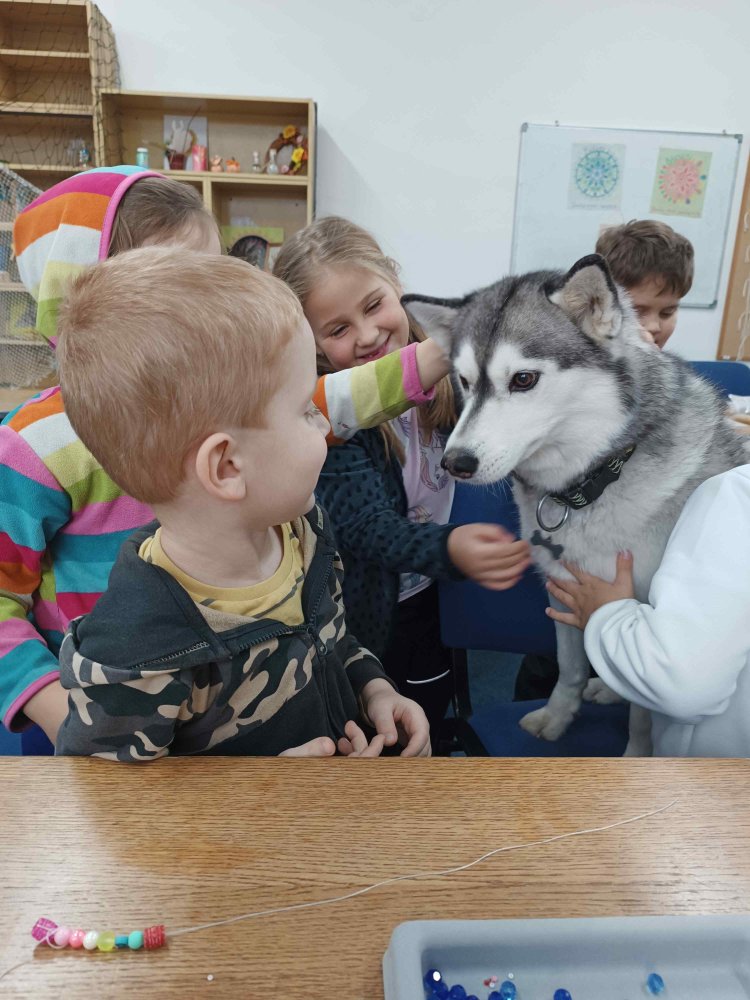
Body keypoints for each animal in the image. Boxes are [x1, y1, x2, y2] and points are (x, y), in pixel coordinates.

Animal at [404, 254, 749, 753]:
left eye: (523, 379)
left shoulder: (640, 611)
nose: (456, 463)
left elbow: (642, 712)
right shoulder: (563, 591)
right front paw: (557, 717)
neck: (594, 480)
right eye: (465, 382)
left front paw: (637, 753)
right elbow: (569, 668)